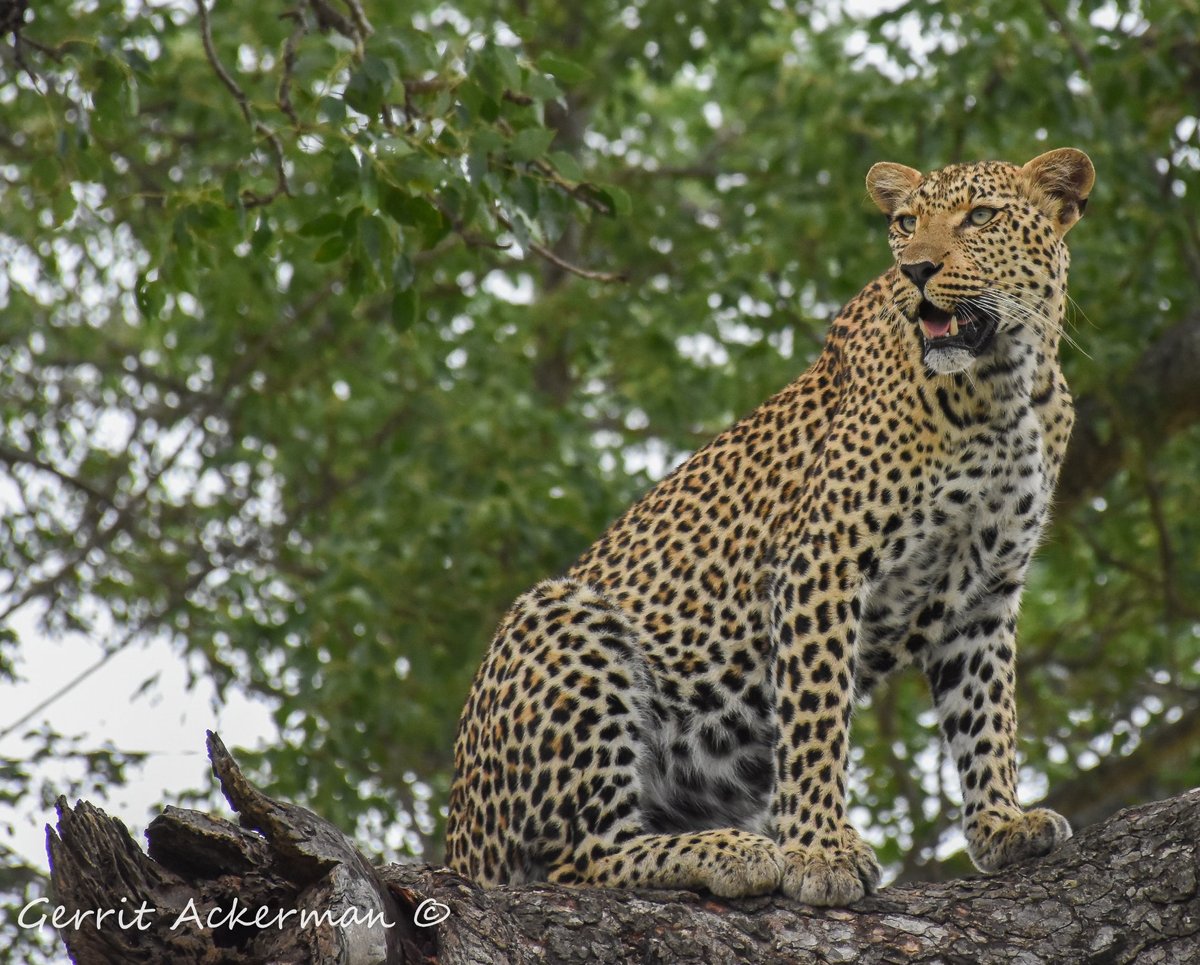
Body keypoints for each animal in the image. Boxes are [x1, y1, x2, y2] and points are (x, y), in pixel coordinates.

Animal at [446, 147, 1094, 907]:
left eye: (982, 217)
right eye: (907, 224)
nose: (917, 270)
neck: (1007, 381)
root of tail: (458, 843)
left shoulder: (988, 589)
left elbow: (988, 714)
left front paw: (1002, 823)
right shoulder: (825, 559)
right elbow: (817, 718)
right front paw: (819, 850)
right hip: (559, 615)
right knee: (579, 856)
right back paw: (731, 851)